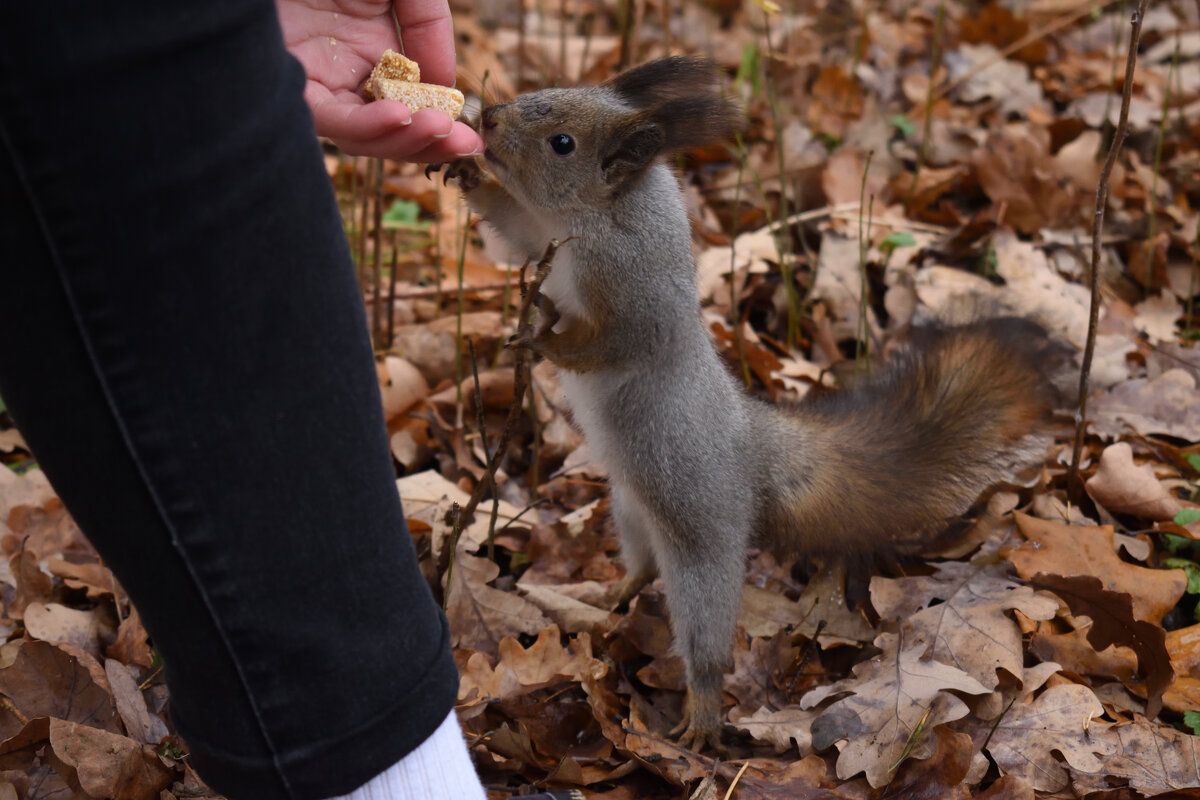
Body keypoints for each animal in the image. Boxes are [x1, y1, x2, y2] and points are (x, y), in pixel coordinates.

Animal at [429, 57, 1060, 753]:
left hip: (703, 530)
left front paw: (542, 338)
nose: (488, 119)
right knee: (643, 567)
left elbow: (618, 341)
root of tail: (754, 449)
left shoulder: (635, 288)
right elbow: (514, 229)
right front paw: (466, 174)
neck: (599, 214)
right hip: (633, 506)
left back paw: (703, 711)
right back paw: (607, 592)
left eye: (562, 143)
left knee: (702, 626)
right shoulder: (539, 232)